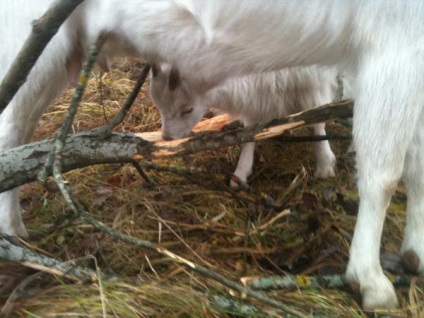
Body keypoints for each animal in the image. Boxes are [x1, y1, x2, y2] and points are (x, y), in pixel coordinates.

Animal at [151, 64, 340, 188]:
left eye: (188, 109)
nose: (167, 138)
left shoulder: (313, 81)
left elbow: (317, 120)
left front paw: (325, 166)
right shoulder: (254, 99)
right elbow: (249, 135)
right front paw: (240, 174)